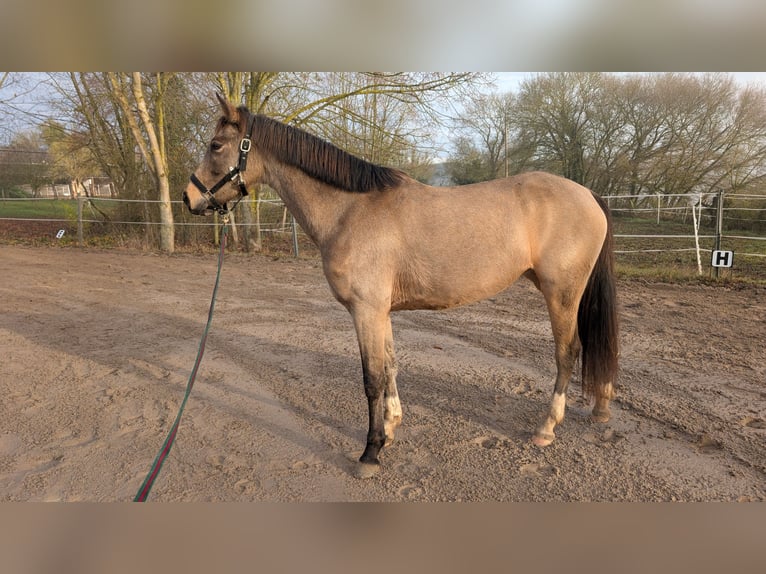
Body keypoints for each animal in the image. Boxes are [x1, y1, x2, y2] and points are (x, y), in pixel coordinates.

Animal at [183, 94, 619, 479]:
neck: (350, 209)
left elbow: (371, 378)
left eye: (215, 145)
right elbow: (391, 365)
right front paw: (392, 427)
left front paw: (371, 452)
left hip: (562, 295)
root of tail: (588, 193)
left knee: (567, 352)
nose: (189, 198)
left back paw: (546, 428)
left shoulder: (365, 310)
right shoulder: (381, 312)